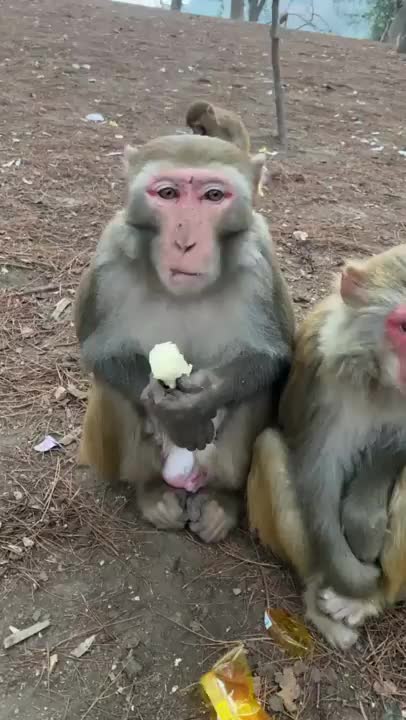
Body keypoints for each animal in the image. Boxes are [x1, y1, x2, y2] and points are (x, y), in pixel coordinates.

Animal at [75, 133, 295, 544]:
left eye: (213, 195)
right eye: (167, 193)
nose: (185, 242)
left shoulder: (261, 256)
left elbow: (271, 356)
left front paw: (200, 400)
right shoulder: (110, 250)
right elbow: (99, 350)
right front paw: (168, 408)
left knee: (256, 390)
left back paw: (221, 501)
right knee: (112, 389)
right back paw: (151, 492)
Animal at [247, 244, 406, 649]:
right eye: (404, 327)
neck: (380, 379)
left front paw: (363, 517)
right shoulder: (320, 367)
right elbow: (318, 473)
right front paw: (355, 573)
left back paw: (372, 599)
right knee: (269, 448)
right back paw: (320, 592)